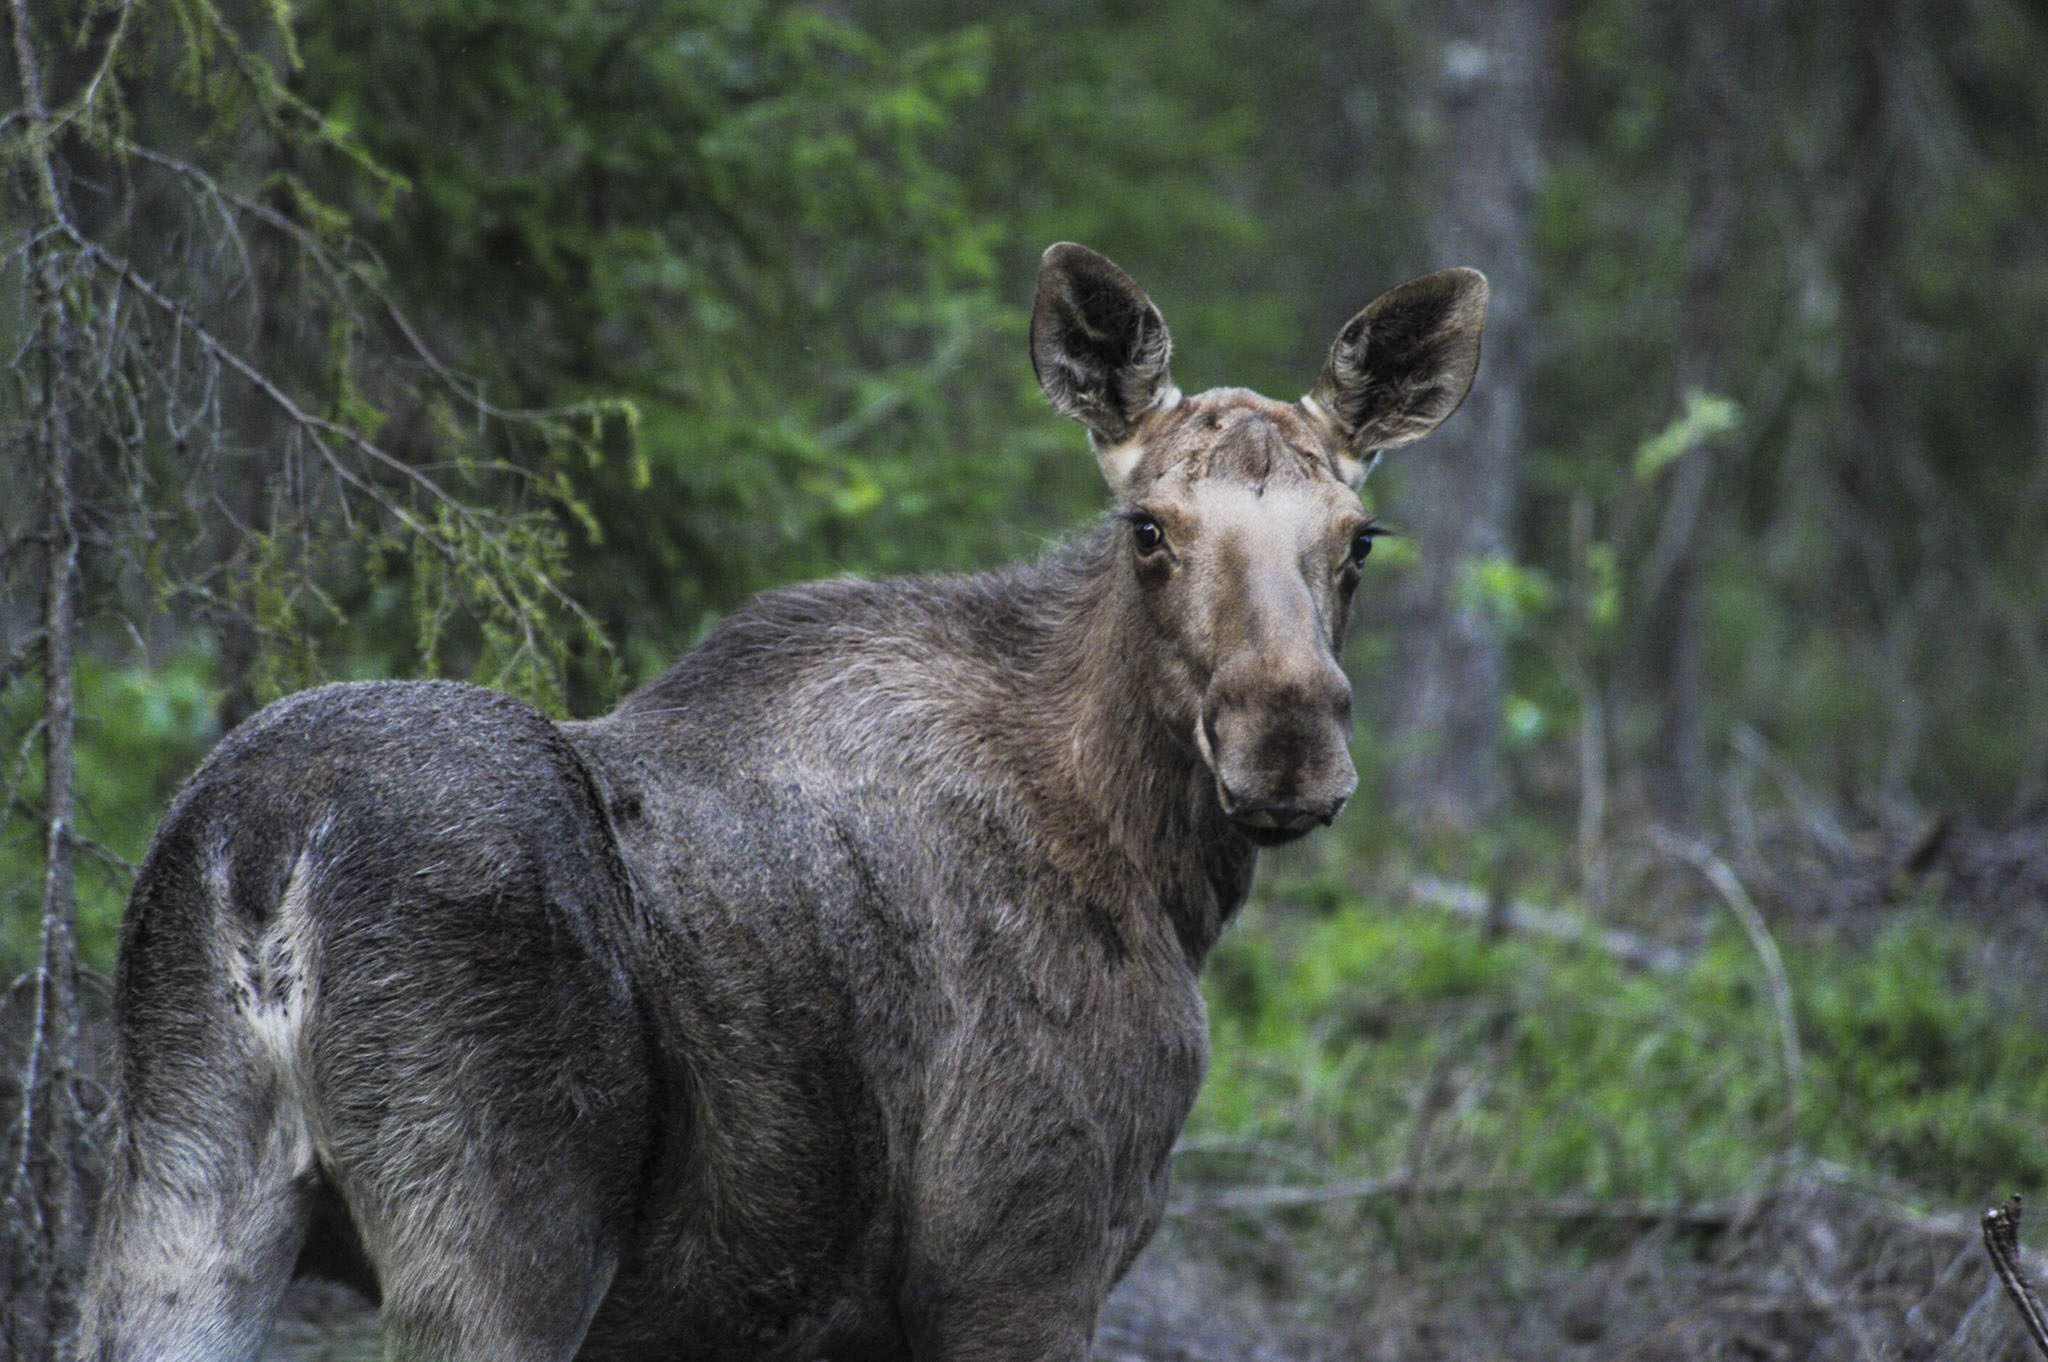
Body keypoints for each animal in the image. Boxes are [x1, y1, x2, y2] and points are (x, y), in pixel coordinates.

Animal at [78, 243, 1487, 1362]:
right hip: (495, 1237)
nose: (1286, 745)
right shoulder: (1019, 1256)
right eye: (1147, 527)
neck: (1156, 870)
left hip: (178, 1201)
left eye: (1357, 537)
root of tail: (271, 862)